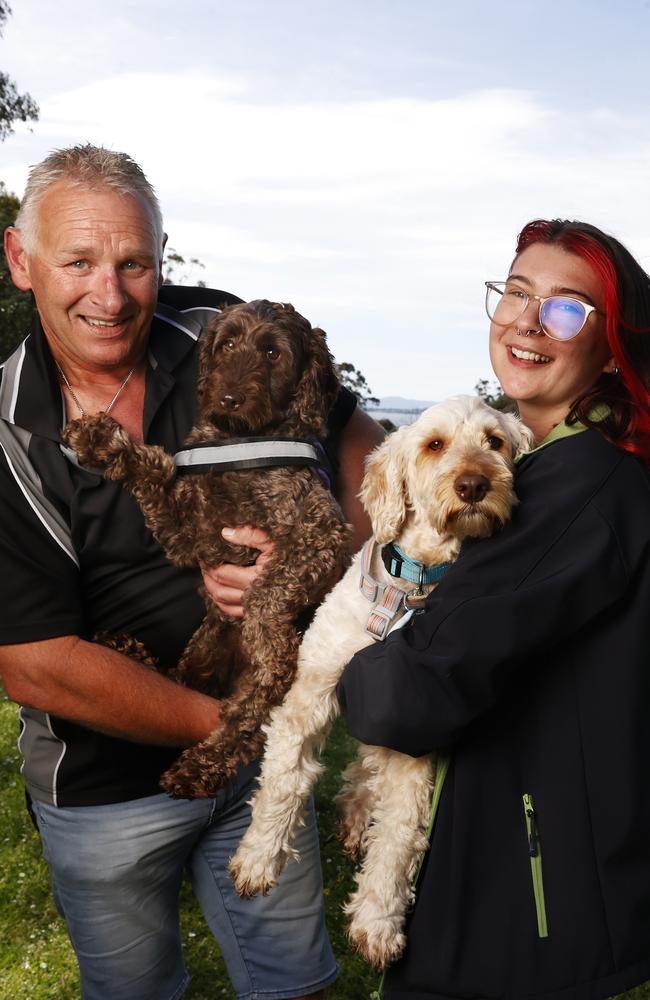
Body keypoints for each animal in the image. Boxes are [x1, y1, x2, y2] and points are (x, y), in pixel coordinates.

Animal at [63, 296, 352, 796]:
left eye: (273, 353)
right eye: (228, 343)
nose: (229, 398)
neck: (241, 441)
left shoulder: (321, 532)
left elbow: (265, 597)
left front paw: (266, 636)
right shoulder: (188, 536)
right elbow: (155, 469)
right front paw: (101, 440)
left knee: (252, 715)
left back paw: (202, 763)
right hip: (205, 642)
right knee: (181, 680)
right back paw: (127, 649)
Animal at [229, 396, 532, 968]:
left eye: (494, 442)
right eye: (434, 444)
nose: (474, 484)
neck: (409, 588)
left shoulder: (414, 730)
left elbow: (401, 831)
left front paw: (378, 920)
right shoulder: (312, 688)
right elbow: (283, 779)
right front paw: (258, 857)